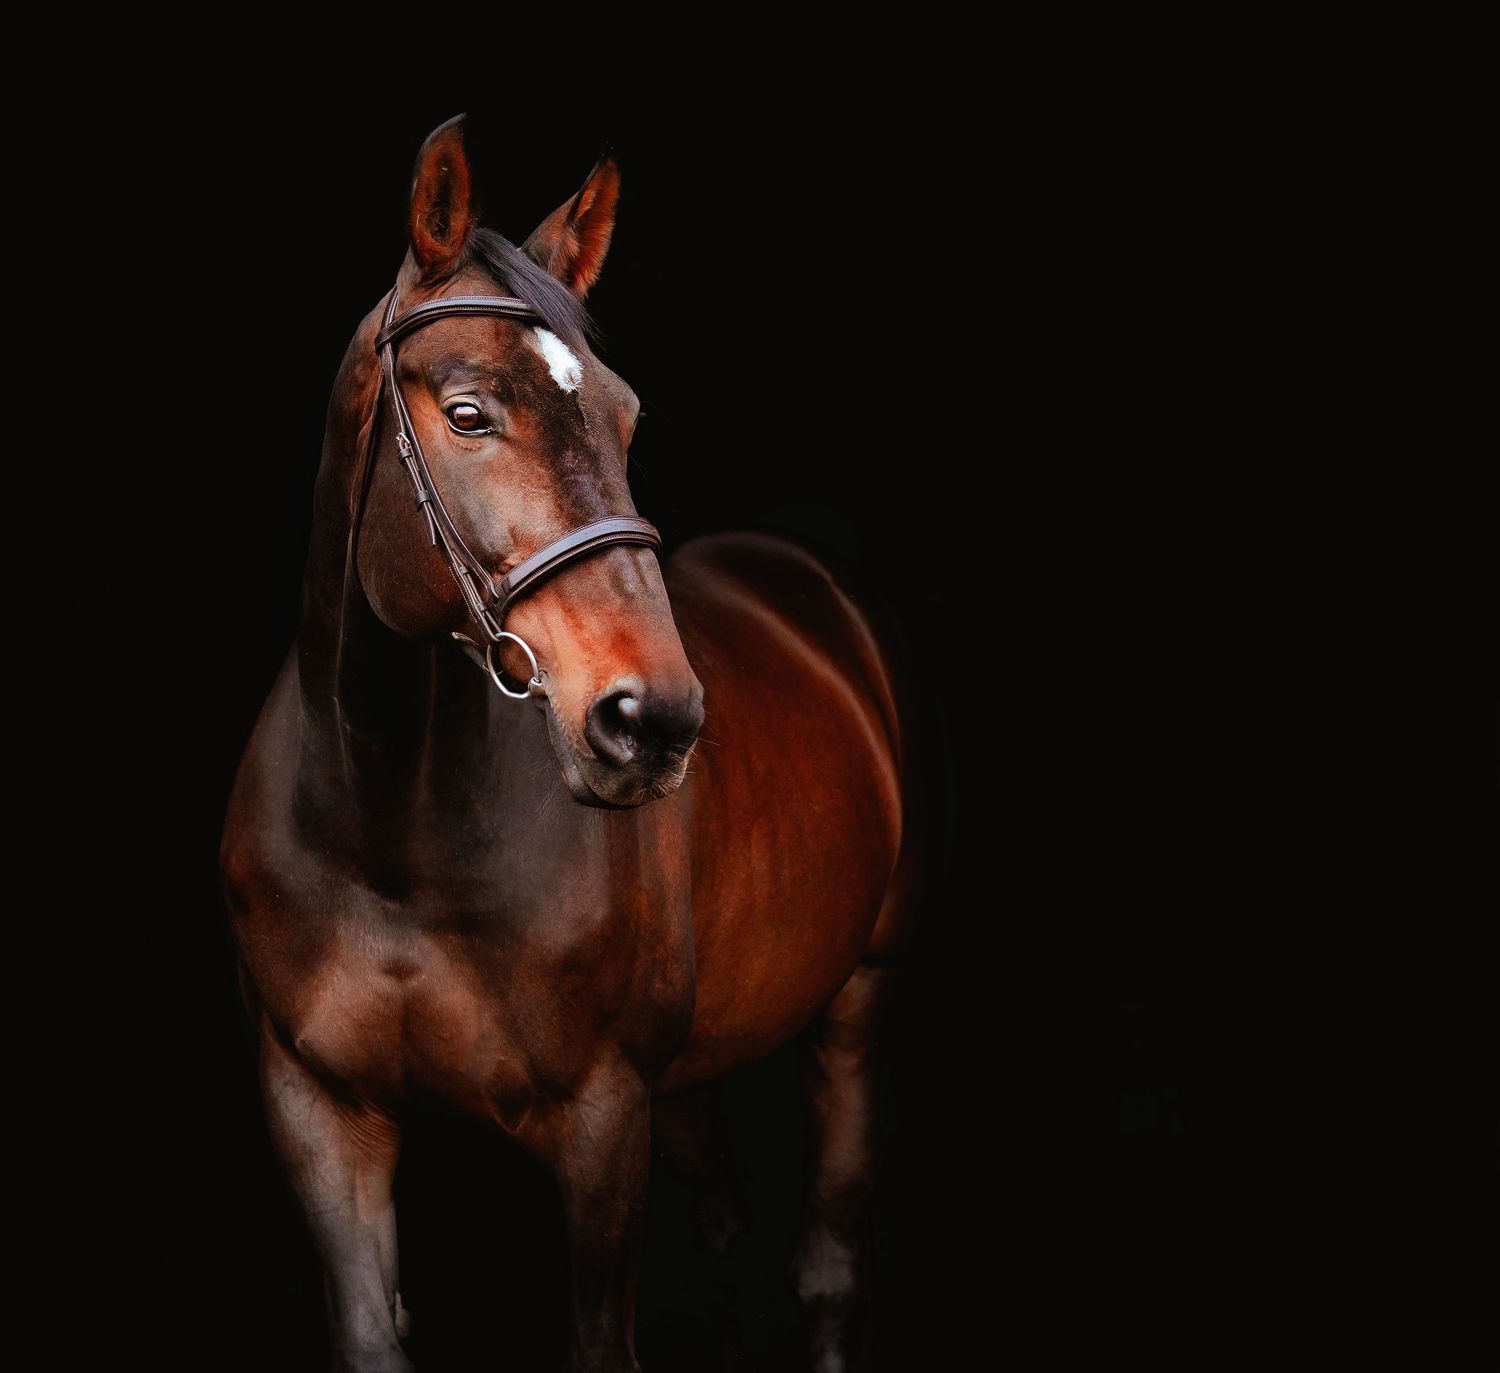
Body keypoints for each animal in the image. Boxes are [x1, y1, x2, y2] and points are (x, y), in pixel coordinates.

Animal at [220, 114, 920, 1373]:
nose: (654, 719)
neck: (385, 827)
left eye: (627, 417)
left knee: (828, 1264)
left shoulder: (601, 1119)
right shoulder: (317, 1108)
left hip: (858, 997)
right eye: (467, 413)